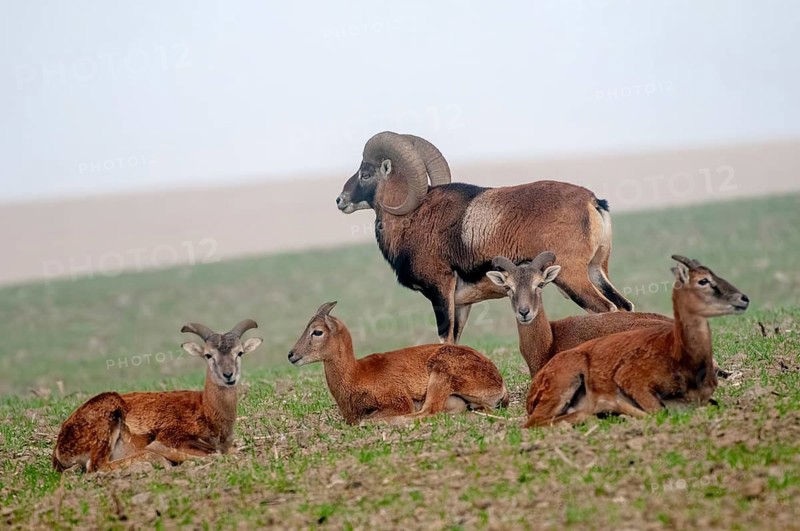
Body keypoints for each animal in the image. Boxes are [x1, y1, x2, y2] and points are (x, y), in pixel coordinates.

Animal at [52, 320, 262, 472]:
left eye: (239, 353)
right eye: (208, 355)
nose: (228, 375)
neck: (206, 410)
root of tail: (60, 446)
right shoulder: (171, 438)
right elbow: (214, 454)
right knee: (97, 466)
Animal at [287, 301, 508, 424]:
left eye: (317, 331)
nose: (291, 355)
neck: (356, 373)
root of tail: (498, 382)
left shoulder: (398, 400)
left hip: (441, 374)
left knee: (427, 412)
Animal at [336, 131, 633, 344]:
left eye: (366, 174)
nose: (340, 200)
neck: (413, 217)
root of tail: (593, 202)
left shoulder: (440, 293)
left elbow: (444, 341)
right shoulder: (461, 305)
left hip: (572, 277)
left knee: (607, 309)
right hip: (596, 270)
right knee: (624, 306)